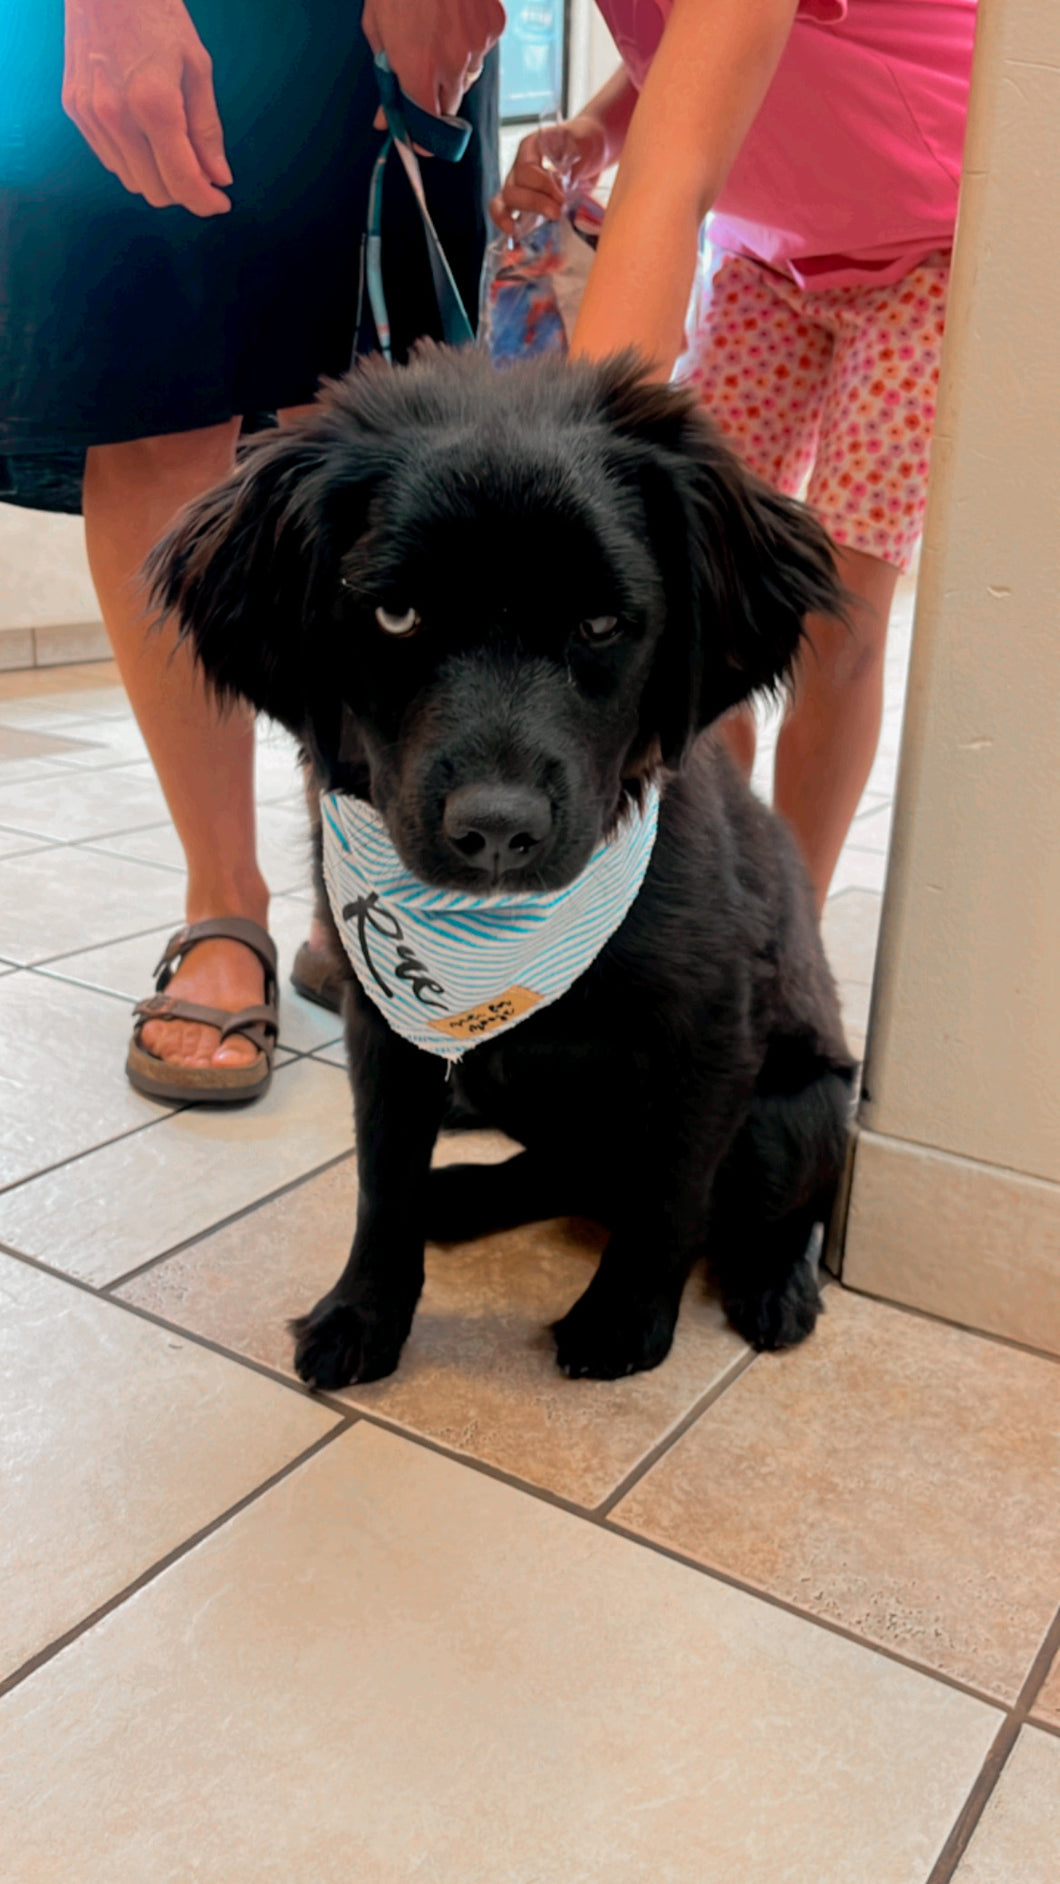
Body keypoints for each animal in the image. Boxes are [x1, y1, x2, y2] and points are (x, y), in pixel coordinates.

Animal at [149, 350, 858, 1386]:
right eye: (396, 614)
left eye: (602, 624)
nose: (495, 831)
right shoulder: (384, 1023)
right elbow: (382, 1179)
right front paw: (364, 1312)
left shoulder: (713, 1030)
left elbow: (670, 1193)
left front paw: (625, 1320)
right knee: (563, 1167)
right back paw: (464, 1196)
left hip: (795, 1107)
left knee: (782, 1202)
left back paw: (775, 1285)